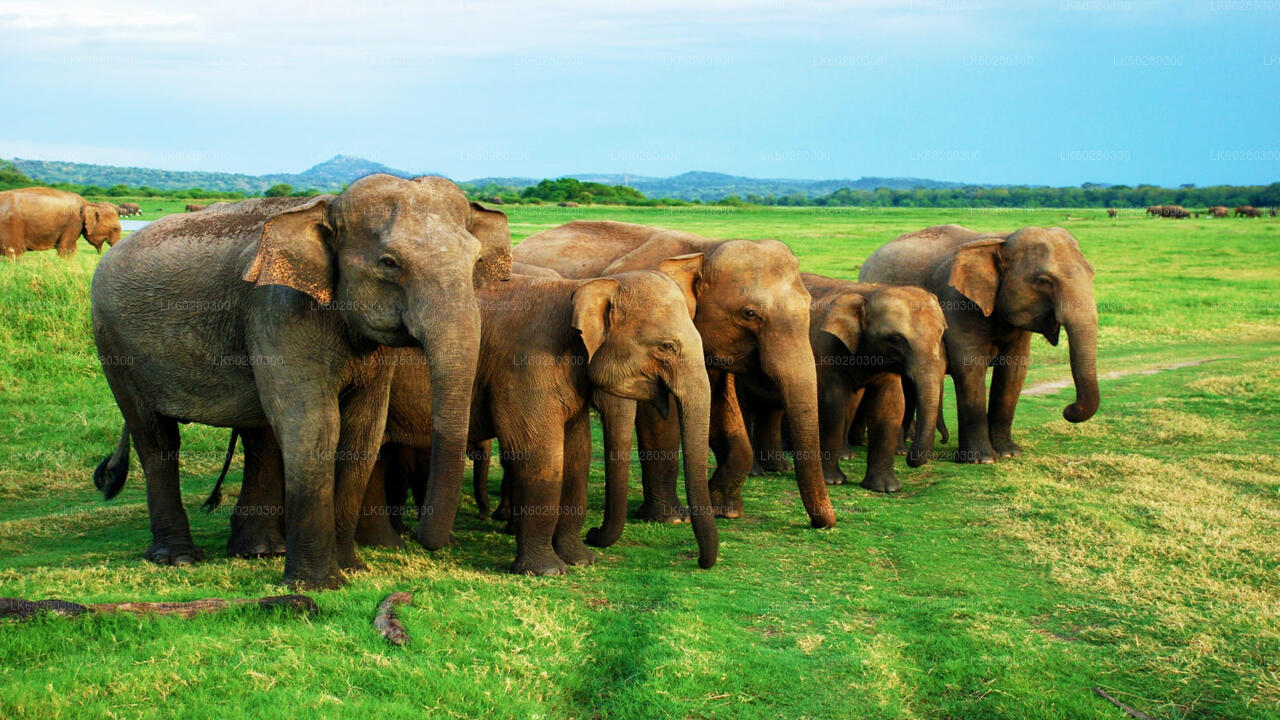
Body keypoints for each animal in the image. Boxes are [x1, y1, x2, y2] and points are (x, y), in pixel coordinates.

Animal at [90, 175, 512, 589]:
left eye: (476, 261)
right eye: (389, 263)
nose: (427, 541)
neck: (329, 206)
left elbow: (363, 433)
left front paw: (351, 570)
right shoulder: (278, 310)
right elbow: (314, 426)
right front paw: (316, 585)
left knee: (259, 434)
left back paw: (259, 551)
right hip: (114, 345)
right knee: (157, 439)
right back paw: (178, 558)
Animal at [512, 219, 839, 532]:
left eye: (808, 306)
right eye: (749, 314)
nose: (821, 524)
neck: (704, 248)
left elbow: (722, 407)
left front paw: (724, 509)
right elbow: (660, 417)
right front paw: (672, 519)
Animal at [855, 221, 1095, 461]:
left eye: (1092, 274)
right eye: (1044, 281)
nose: (1068, 409)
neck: (1002, 240)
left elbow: (1014, 371)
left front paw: (1009, 453)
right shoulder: (957, 303)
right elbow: (970, 367)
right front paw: (983, 459)